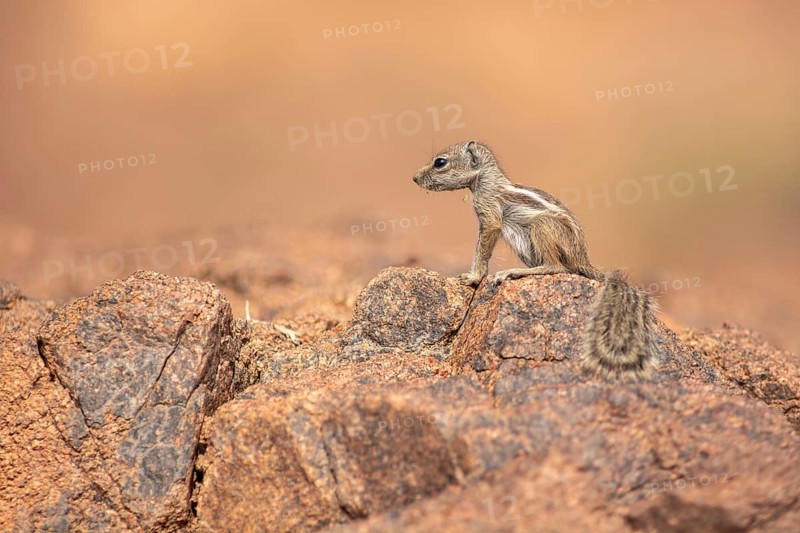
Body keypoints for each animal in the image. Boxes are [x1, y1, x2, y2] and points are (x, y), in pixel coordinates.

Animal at [412, 140, 659, 380]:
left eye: (440, 162)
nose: (414, 178)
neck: (486, 179)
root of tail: (582, 258)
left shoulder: (489, 215)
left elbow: (483, 249)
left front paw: (472, 277)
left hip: (542, 226)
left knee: (556, 267)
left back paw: (514, 272)